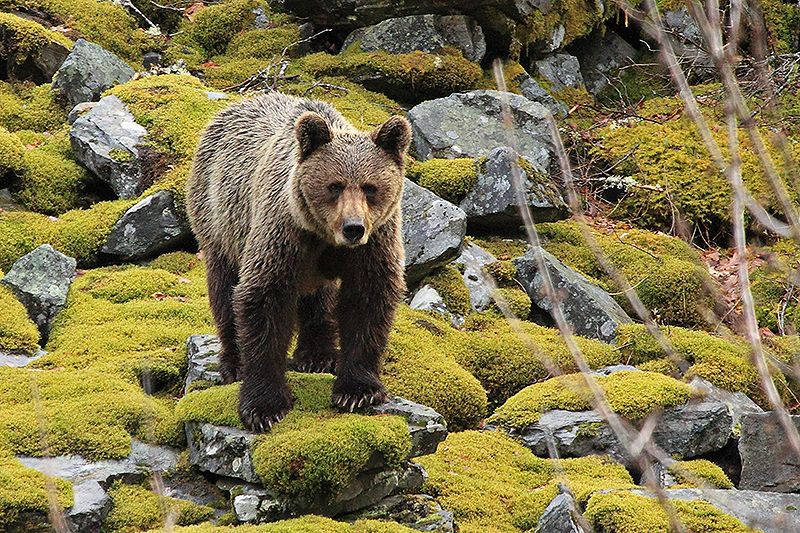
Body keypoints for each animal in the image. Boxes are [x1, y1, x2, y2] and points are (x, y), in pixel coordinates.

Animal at [187, 91, 410, 432]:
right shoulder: (283, 234)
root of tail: (235, 104)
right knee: (224, 289)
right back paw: (233, 362)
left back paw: (318, 354)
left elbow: (367, 302)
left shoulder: (373, 244)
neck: (324, 236)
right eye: (335, 185)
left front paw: (358, 390)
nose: (354, 227)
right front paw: (264, 406)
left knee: (320, 297)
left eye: (370, 187)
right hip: (218, 219)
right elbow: (263, 301)